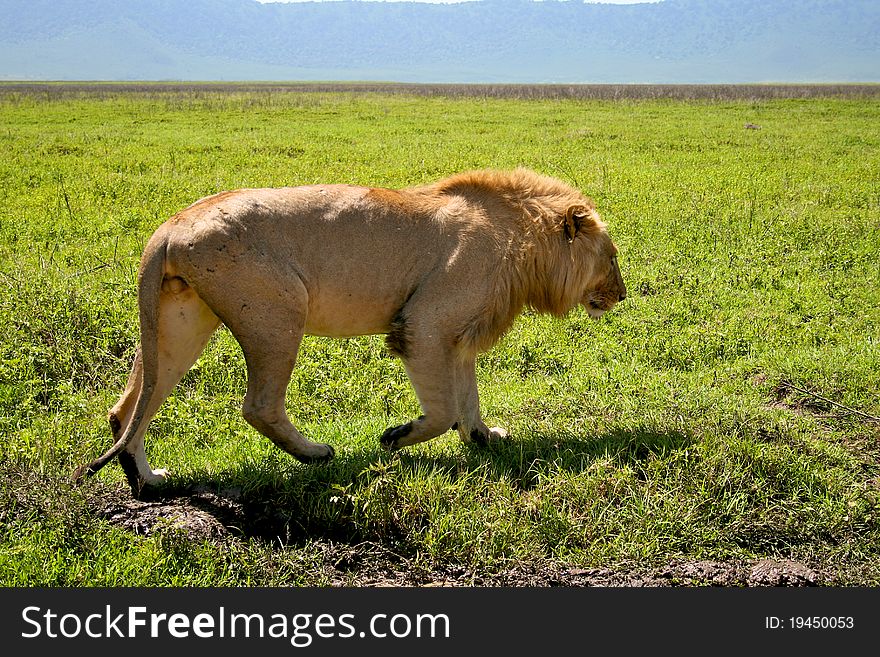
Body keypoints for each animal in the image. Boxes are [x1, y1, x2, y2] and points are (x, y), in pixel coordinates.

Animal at [74, 169, 624, 498]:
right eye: (612, 257)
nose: (623, 294)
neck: (523, 241)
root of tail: (170, 226)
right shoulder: (425, 322)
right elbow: (444, 408)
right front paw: (396, 437)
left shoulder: (460, 333)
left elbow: (468, 399)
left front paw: (485, 438)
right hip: (278, 311)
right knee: (258, 405)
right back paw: (316, 454)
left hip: (181, 322)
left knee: (128, 408)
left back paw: (146, 480)